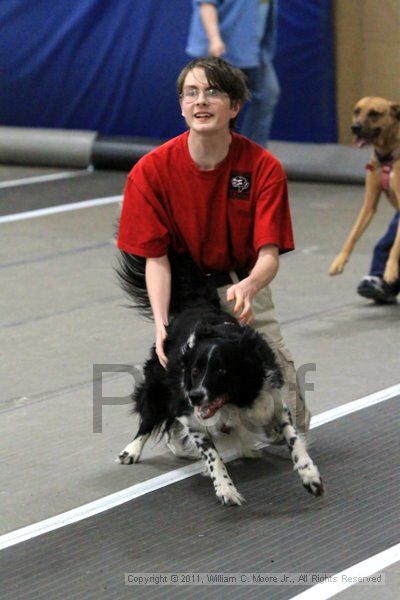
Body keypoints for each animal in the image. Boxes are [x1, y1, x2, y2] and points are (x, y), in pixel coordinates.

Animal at [330, 97, 400, 284]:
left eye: (374, 113)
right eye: (357, 111)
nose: (354, 128)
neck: (387, 156)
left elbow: (396, 245)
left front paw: (390, 268)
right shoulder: (368, 205)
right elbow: (353, 234)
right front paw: (338, 261)